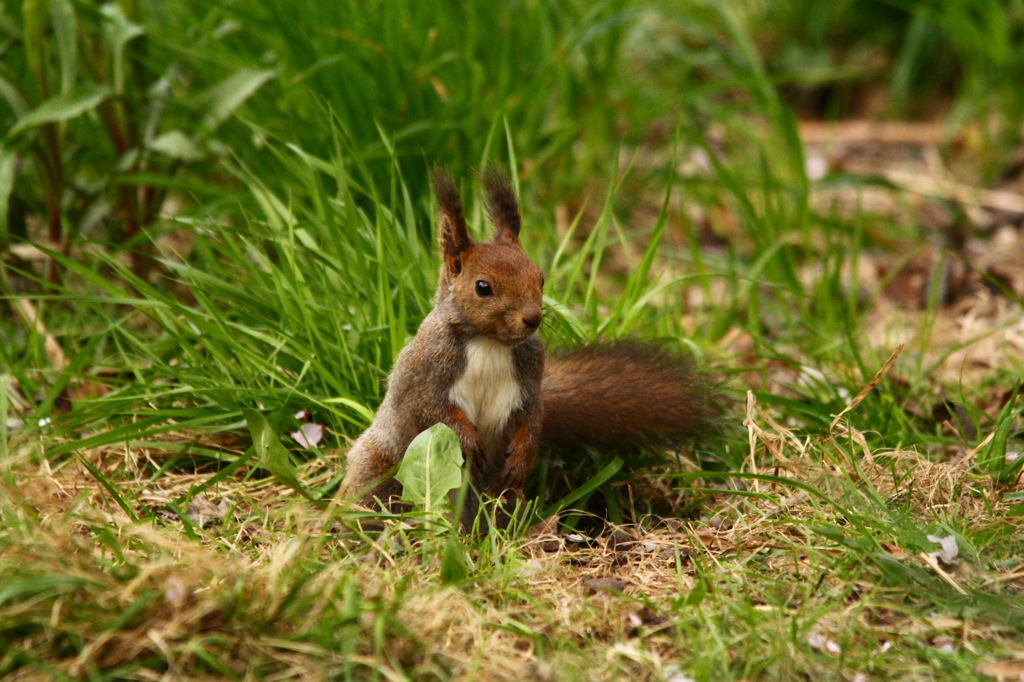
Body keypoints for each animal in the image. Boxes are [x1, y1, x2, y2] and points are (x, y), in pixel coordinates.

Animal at [344, 164, 720, 524]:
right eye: (483, 287)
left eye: (539, 278)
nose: (533, 319)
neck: (489, 342)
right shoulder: (424, 370)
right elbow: (431, 408)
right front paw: (468, 439)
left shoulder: (529, 375)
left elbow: (530, 416)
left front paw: (524, 451)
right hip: (382, 469)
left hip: (500, 493)